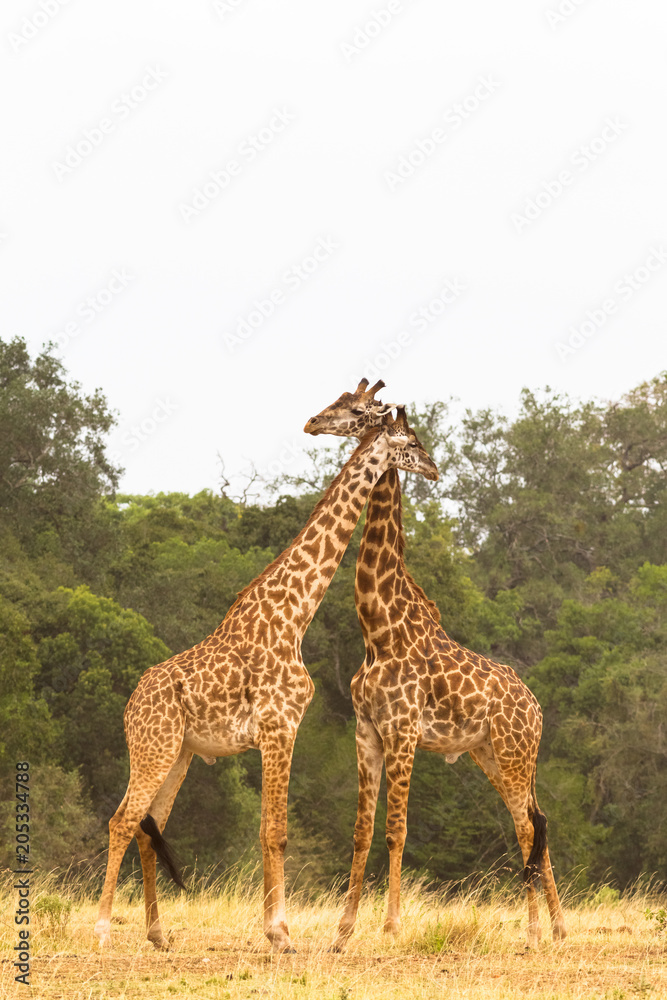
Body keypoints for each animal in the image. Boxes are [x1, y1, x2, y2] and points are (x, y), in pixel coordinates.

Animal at [94, 419, 438, 954]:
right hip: (153, 747)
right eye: (413, 441)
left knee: (151, 828)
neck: (294, 614)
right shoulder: (280, 726)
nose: (436, 468)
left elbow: (267, 830)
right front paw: (280, 933)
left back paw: (159, 934)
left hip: (178, 754)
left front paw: (276, 931)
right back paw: (104, 930)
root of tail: (130, 707)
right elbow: (274, 831)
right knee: (123, 820)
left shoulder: (277, 731)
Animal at [304, 383, 567, 950]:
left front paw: (391, 926)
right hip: (491, 755)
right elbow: (361, 829)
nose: (312, 422)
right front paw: (342, 932)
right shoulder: (366, 730)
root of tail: (536, 709)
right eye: (341, 402)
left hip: (514, 754)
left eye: (357, 410)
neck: (378, 630)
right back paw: (556, 929)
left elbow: (396, 828)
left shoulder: (403, 732)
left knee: (528, 826)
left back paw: (536, 931)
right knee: (533, 823)